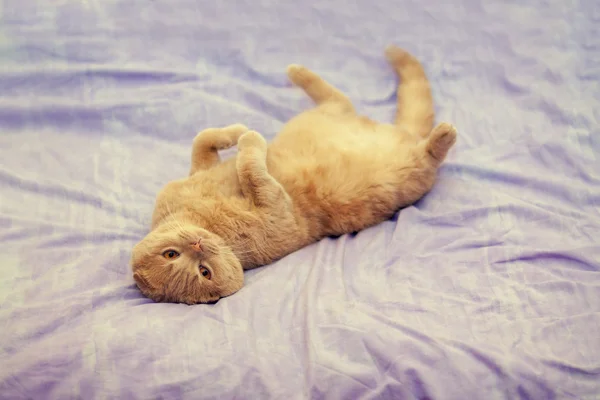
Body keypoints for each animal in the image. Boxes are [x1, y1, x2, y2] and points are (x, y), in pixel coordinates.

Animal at [131, 45, 458, 304]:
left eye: (170, 254)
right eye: (204, 272)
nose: (197, 246)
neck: (204, 221)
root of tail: (402, 134)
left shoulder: (196, 173)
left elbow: (204, 140)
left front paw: (238, 132)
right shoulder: (277, 211)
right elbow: (251, 168)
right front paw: (250, 140)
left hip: (327, 113)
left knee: (337, 98)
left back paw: (296, 72)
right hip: (411, 174)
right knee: (429, 154)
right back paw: (444, 133)